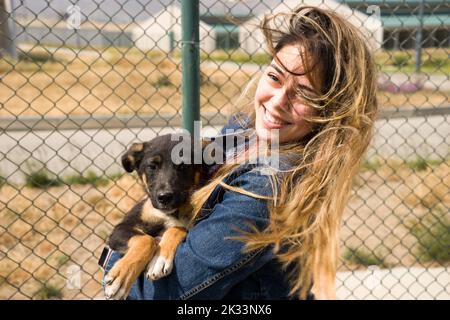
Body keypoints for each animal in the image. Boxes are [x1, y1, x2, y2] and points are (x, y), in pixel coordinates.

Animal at [104, 133, 214, 300]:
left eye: (183, 166)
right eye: (152, 167)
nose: (164, 197)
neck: (173, 212)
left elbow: (177, 228)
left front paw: (159, 259)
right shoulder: (121, 228)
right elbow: (146, 240)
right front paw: (121, 277)